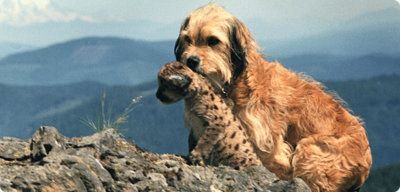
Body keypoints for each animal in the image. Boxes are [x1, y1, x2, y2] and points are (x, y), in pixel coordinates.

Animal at [173, 3, 374, 192]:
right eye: (187, 39)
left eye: (213, 41)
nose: (190, 61)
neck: (234, 81)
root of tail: (366, 162)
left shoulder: (265, 142)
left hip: (311, 151)